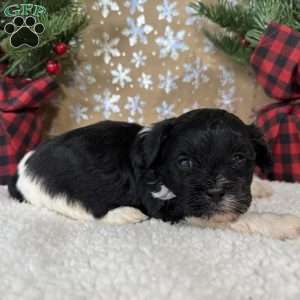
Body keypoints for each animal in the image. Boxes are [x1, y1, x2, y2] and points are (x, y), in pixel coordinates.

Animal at [8, 108, 274, 225]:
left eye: (239, 158)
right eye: (185, 163)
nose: (217, 193)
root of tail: (22, 169)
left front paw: (262, 187)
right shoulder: (174, 208)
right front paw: (281, 224)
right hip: (59, 193)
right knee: (86, 211)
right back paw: (124, 214)